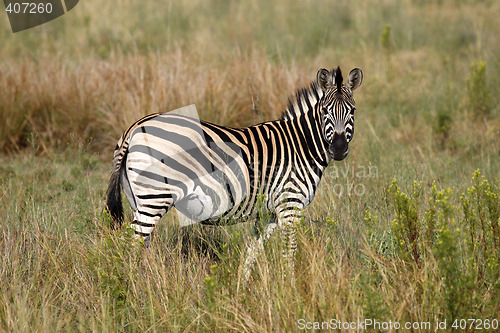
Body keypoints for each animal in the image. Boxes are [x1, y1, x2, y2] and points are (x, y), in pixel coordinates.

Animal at [105, 66, 364, 282]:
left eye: (352, 111)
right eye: (325, 111)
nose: (339, 148)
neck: (301, 144)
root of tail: (134, 127)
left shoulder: (268, 213)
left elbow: (252, 251)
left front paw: (243, 288)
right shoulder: (290, 205)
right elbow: (289, 254)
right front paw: (290, 289)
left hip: (138, 198)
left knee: (142, 244)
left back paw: (147, 285)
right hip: (155, 197)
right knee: (133, 245)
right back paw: (133, 289)